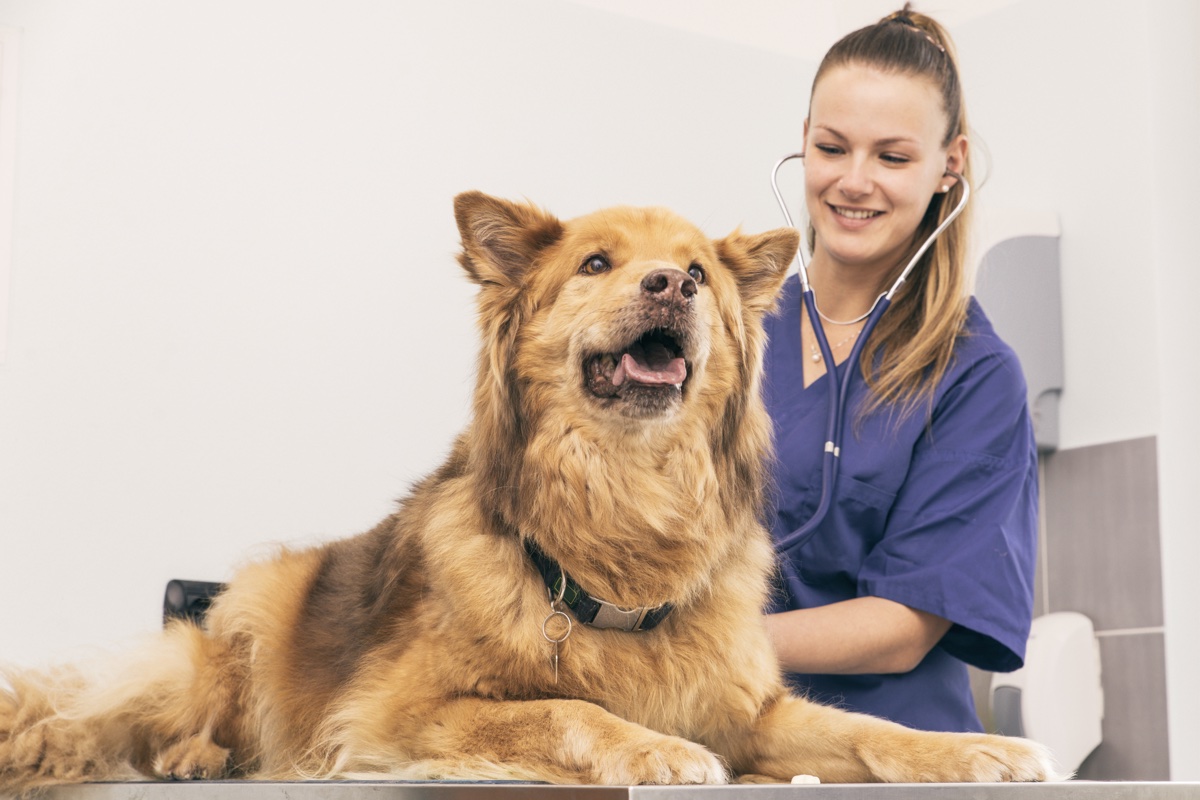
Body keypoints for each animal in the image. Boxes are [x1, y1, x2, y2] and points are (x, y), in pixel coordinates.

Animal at [0, 191, 1056, 786]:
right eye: (596, 263)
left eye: (701, 273)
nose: (672, 284)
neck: (626, 507)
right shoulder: (399, 713)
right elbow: (565, 709)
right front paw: (654, 747)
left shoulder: (752, 714)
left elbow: (872, 728)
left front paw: (978, 752)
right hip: (235, 643)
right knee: (148, 719)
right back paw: (182, 754)